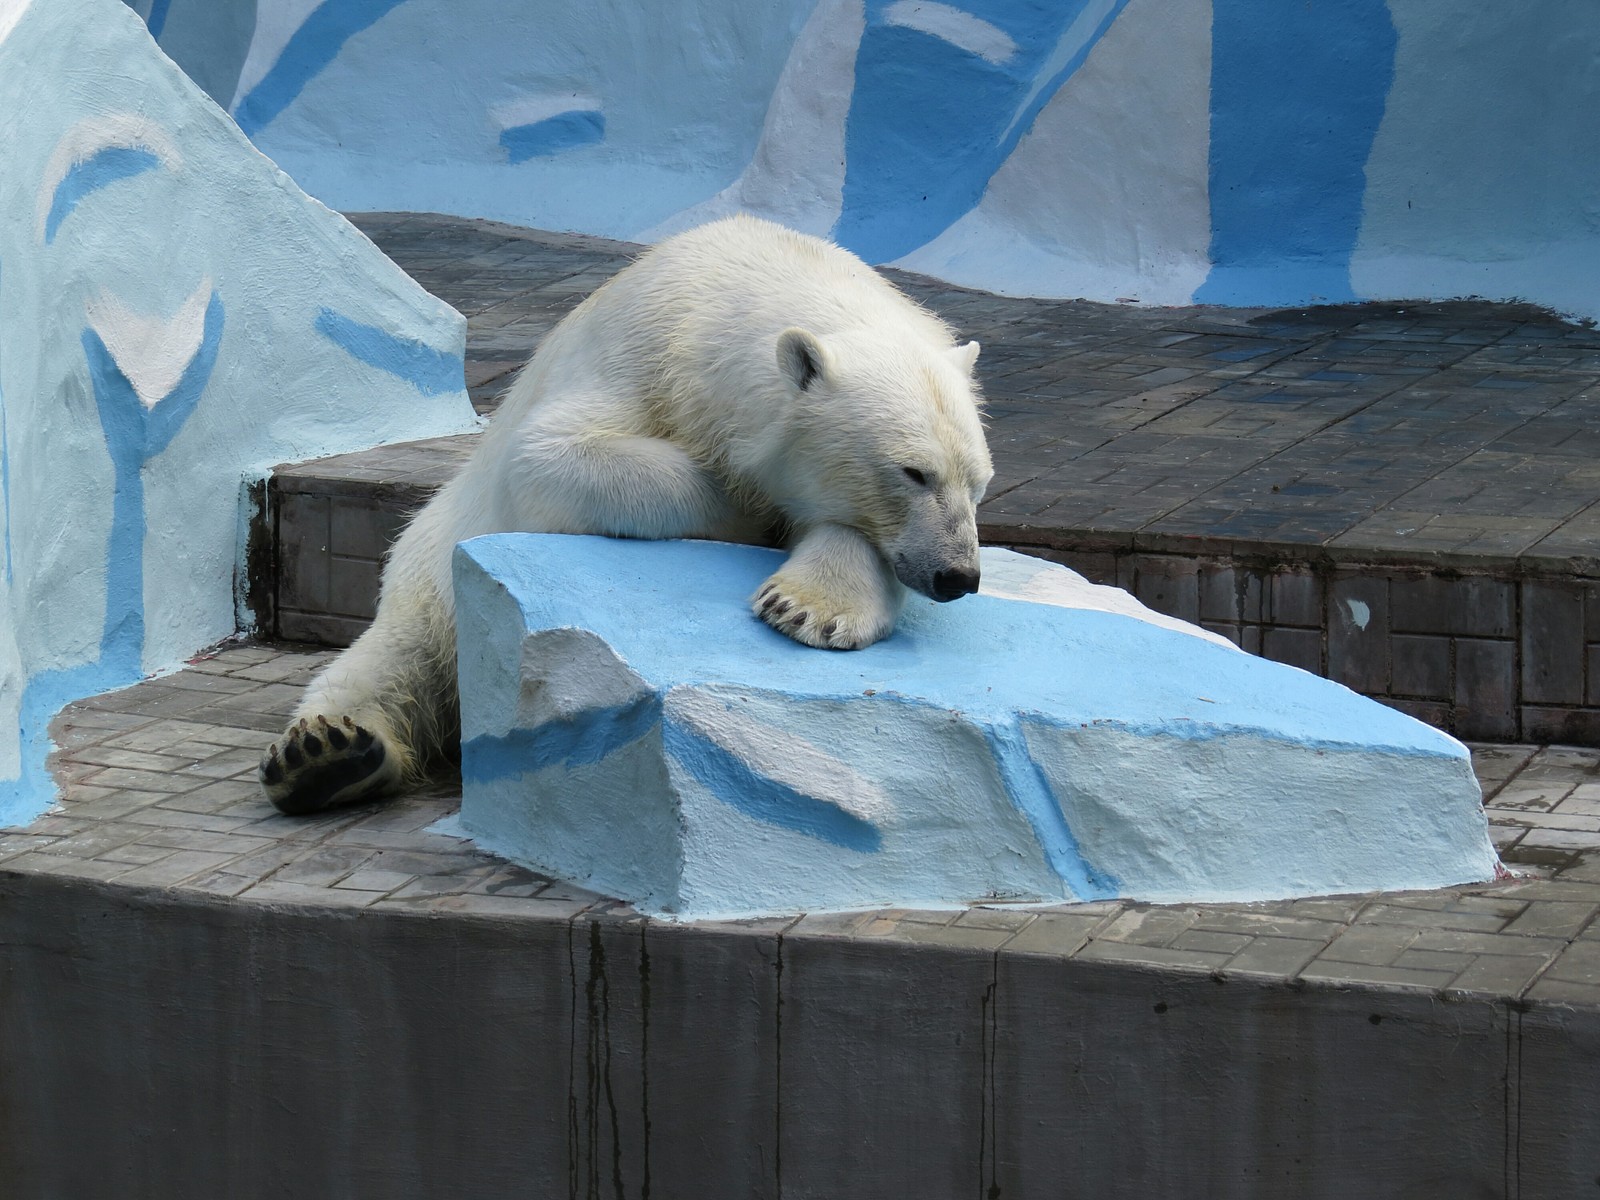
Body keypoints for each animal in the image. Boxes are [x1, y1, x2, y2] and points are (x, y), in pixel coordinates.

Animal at [257, 216, 992, 819]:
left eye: (978, 481)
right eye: (913, 472)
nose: (958, 576)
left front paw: (811, 607)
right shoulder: (641, 355)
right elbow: (549, 456)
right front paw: (746, 515)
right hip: (433, 559)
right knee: (391, 658)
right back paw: (323, 756)